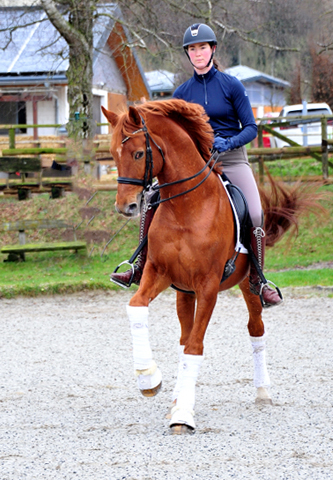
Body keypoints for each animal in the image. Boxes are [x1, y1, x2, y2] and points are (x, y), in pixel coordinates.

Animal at [101, 98, 308, 436]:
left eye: (139, 153)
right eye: (113, 154)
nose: (125, 207)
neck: (186, 208)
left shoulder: (208, 286)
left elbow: (195, 346)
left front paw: (183, 415)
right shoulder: (158, 273)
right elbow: (137, 308)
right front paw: (149, 379)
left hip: (247, 286)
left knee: (255, 330)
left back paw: (263, 391)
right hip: (183, 293)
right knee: (183, 336)